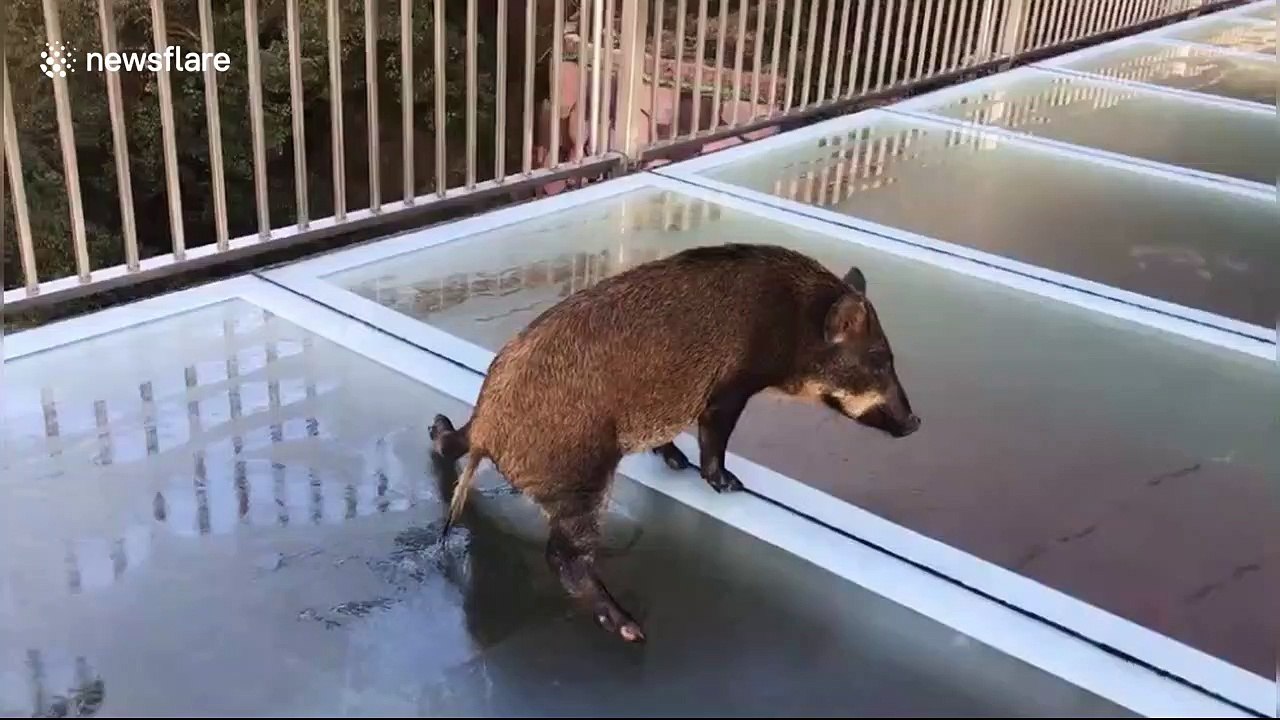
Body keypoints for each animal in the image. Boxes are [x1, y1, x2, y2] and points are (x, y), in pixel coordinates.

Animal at [430, 243, 920, 643]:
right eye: (878, 359)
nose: (915, 422)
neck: (793, 320)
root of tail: (491, 428)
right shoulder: (729, 390)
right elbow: (714, 439)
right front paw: (730, 485)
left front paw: (676, 462)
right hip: (581, 476)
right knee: (562, 555)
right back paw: (630, 627)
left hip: (496, 441)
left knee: (449, 442)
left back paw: (438, 427)